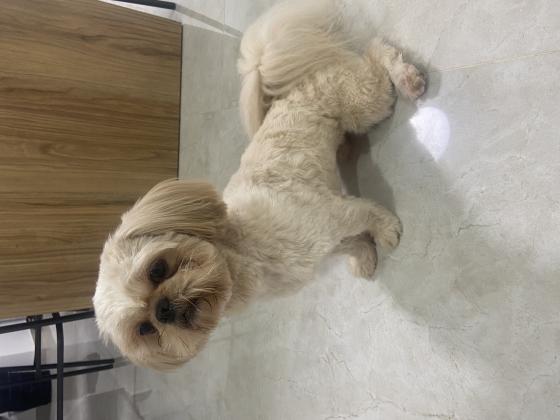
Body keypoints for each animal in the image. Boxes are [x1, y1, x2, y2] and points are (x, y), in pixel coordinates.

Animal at [93, 0, 426, 370]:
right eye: (145, 329)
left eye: (157, 269)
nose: (163, 310)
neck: (243, 250)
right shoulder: (327, 244)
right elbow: (352, 244)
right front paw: (365, 258)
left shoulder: (333, 213)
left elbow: (368, 213)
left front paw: (386, 231)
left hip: (364, 101)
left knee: (377, 53)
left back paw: (408, 80)